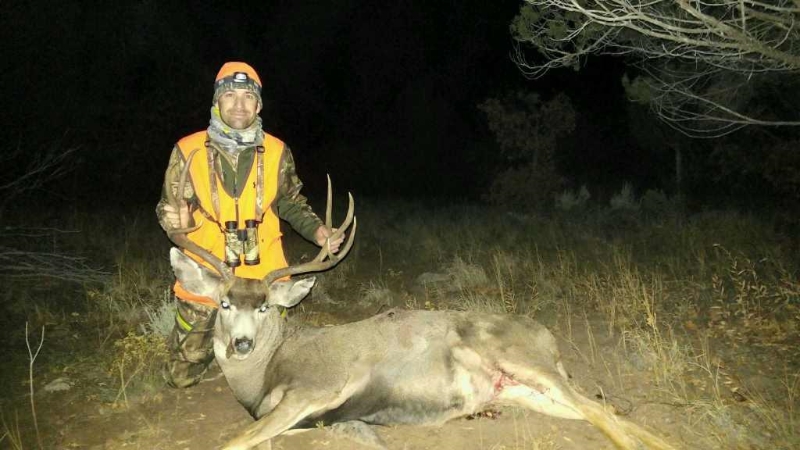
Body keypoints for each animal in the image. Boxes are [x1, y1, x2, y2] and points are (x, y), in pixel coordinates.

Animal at [166, 153, 680, 448]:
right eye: (224, 304)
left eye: (265, 306)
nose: (242, 345)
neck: (266, 373)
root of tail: (548, 338)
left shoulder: (316, 388)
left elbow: (233, 441)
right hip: (521, 389)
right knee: (603, 411)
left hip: (520, 359)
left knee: (602, 412)